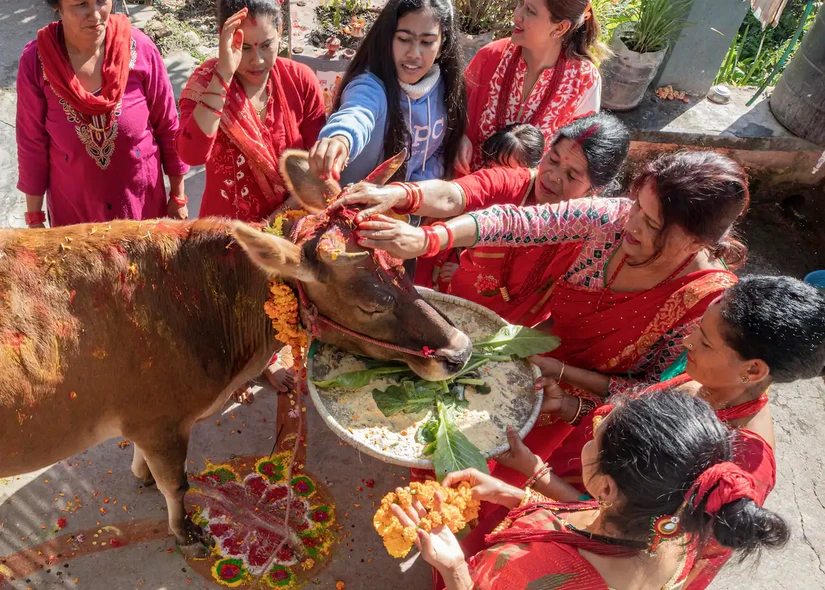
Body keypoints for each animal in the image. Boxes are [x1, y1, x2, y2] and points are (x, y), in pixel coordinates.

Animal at [0, 150, 474, 556]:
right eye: (372, 305)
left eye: (402, 266)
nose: (461, 350)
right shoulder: (158, 422)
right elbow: (177, 485)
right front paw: (185, 532)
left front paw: (142, 476)